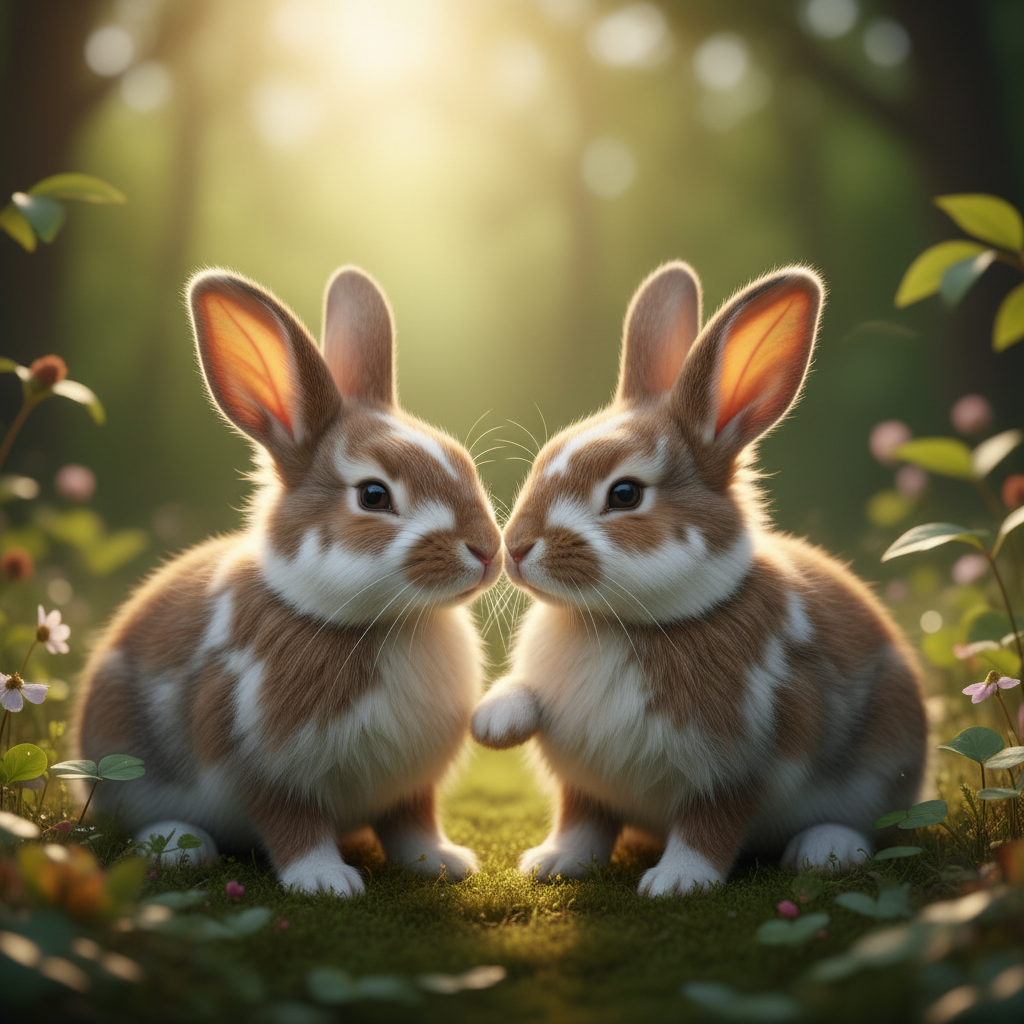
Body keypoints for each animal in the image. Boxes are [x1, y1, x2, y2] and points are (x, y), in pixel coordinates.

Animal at [74, 266, 502, 896]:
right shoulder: (265, 769)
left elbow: (412, 824)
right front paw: (327, 882)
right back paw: (180, 846)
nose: (488, 551)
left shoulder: (410, 785)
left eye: (463, 462)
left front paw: (444, 862)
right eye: (374, 495)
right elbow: (294, 826)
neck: (389, 624)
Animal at [472, 262, 926, 896]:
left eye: (624, 494)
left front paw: (676, 883)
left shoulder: (733, 769)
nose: (514, 549)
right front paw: (551, 857)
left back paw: (823, 850)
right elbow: (580, 820)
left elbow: (708, 827)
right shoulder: (586, 780)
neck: (616, 625)